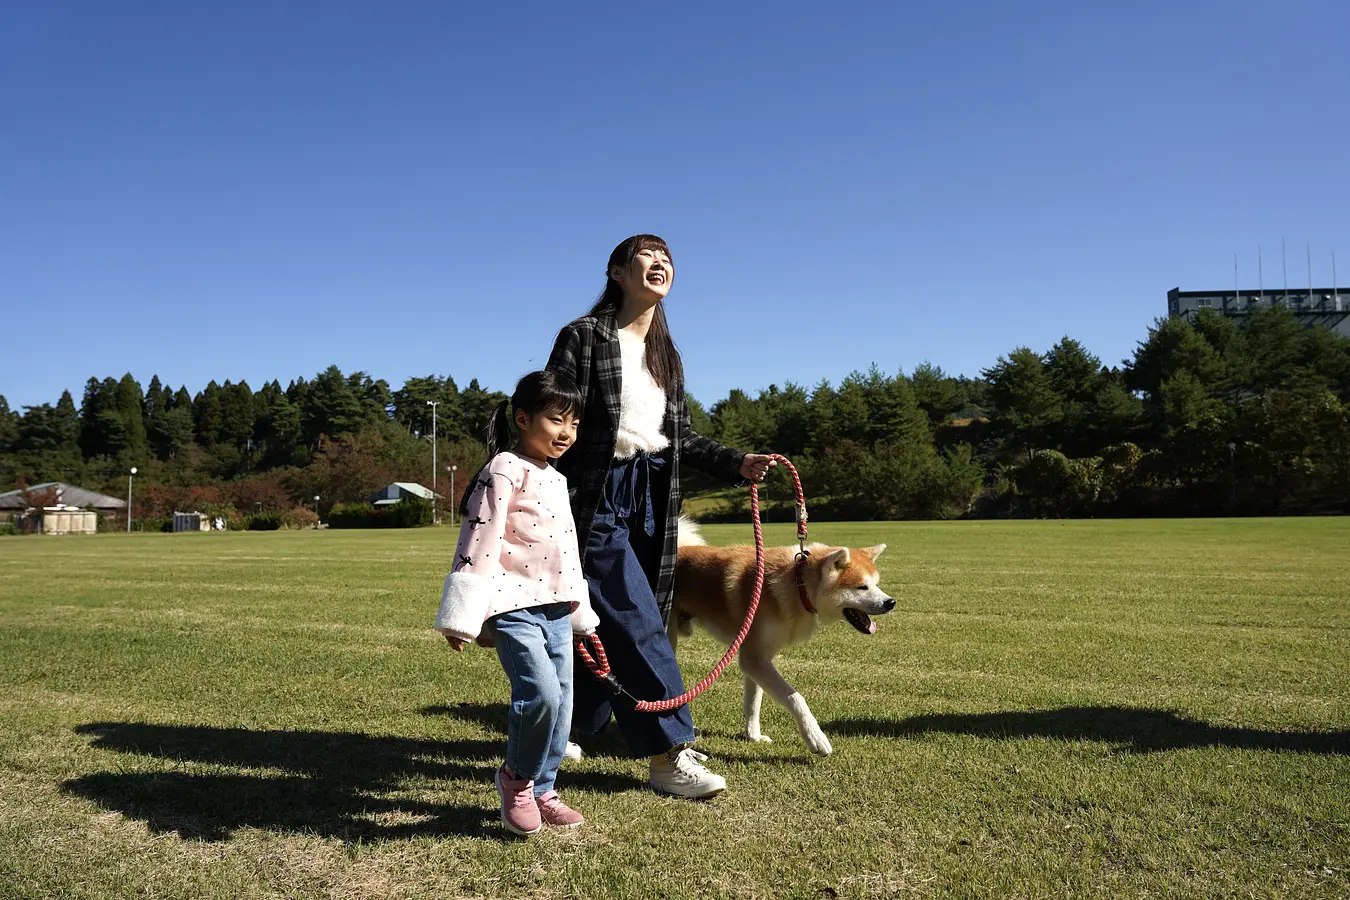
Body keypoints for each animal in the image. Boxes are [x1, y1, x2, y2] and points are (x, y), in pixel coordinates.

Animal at [669, 523, 891, 755]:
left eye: (876, 584)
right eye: (862, 587)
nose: (890, 602)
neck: (798, 586)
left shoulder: (756, 659)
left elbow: (753, 702)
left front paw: (753, 736)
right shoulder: (754, 659)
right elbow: (796, 698)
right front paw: (815, 738)